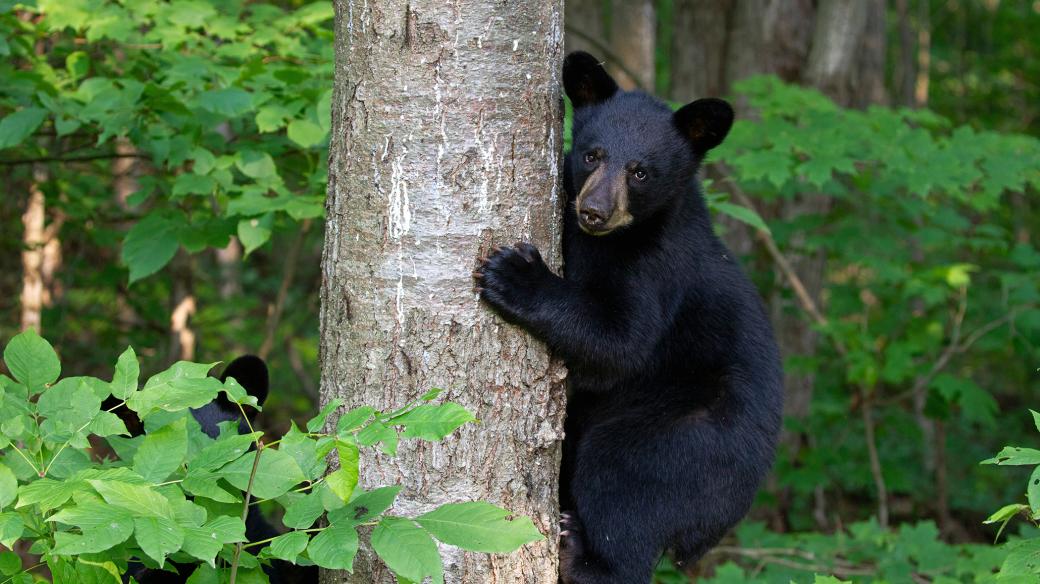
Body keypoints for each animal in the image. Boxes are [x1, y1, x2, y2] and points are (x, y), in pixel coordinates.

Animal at [476, 51, 782, 581]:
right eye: (593, 154)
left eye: (641, 172)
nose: (594, 211)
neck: (613, 240)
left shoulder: (658, 269)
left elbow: (620, 342)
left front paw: (514, 274)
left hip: (688, 437)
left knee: (622, 479)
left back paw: (581, 552)